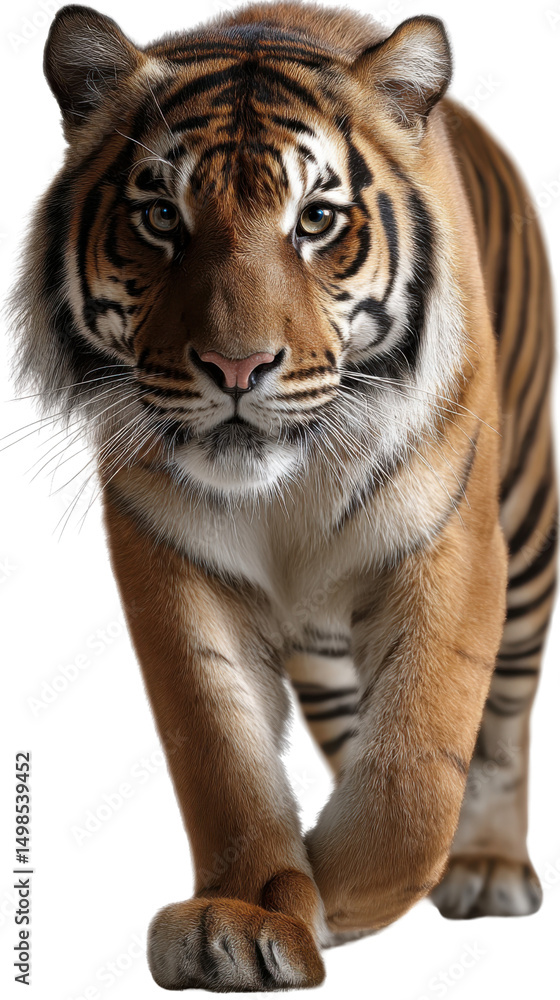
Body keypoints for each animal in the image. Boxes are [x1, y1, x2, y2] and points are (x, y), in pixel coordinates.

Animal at [11, 0, 557, 992]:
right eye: (162, 216)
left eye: (316, 220)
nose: (237, 368)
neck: (288, 490)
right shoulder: (167, 561)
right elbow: (219, 756)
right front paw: (249, 914)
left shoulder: (452, 551)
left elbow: (413, 775)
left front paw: (339, 895)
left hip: (530, 533)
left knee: (502, 724)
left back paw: (486, 865)